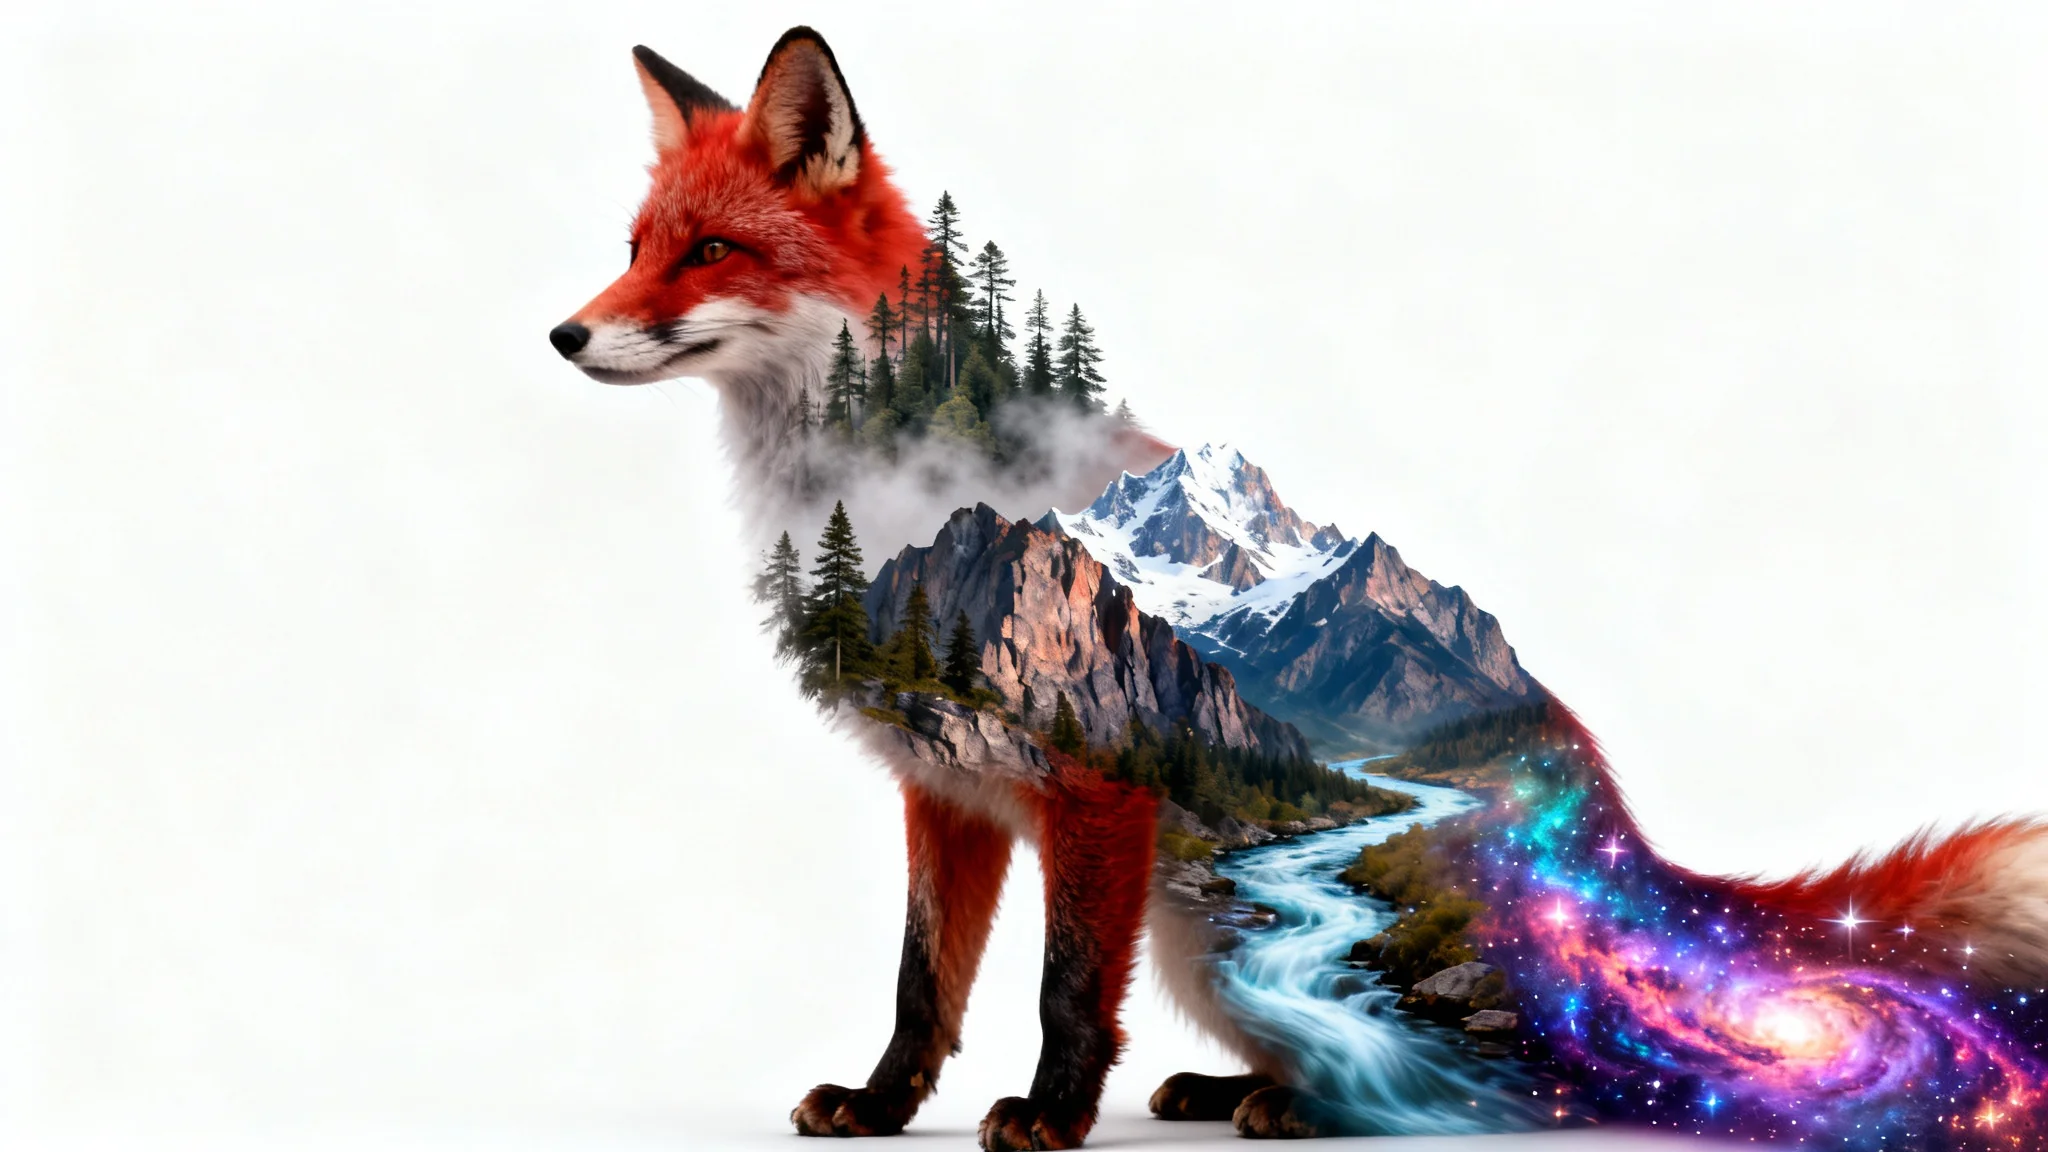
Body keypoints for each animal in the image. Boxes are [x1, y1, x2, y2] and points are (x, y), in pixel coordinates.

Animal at [551, 27, 2048, 1151]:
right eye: (632, 246)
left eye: (709, 253)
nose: (563, 334)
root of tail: (1630, 851)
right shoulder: (950, 787)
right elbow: (926, 980)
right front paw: (881, 1102)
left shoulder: (1097, 780)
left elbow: (1063, 991)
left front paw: (1046, 1115)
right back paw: (1247, 1087)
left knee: (1536, 1083)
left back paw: (1325, 1103)